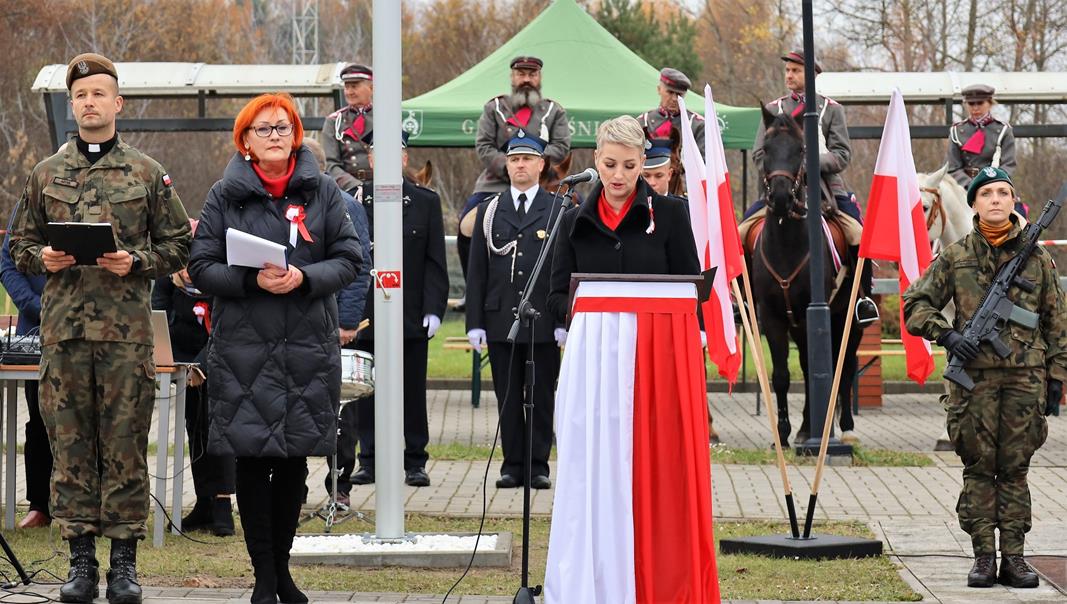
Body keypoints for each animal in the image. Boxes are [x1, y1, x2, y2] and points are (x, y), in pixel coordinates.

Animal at [747, 106, 864, 446]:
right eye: (766, 149)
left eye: (801, 149)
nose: (781, 197)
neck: (787, 246)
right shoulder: (774, 317)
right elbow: (782, 376)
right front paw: (784, 434)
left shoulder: (815, 314)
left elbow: (819, 370)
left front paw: (811, 430)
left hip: (849, 319)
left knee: (846, 367)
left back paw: (844, 428)